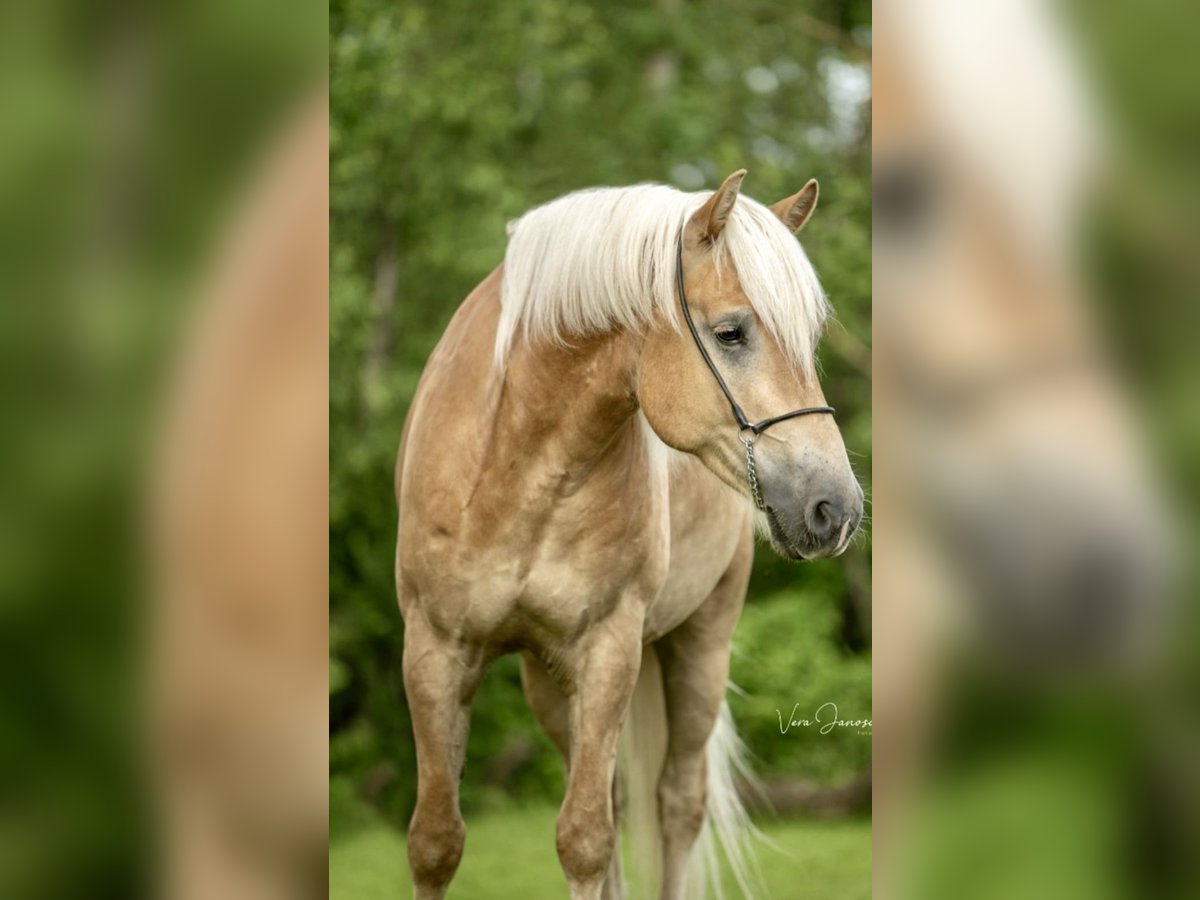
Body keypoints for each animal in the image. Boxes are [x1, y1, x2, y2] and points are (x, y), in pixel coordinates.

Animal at [393, 169, 864, 900]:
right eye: (731, 333)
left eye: (811, 338)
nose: (834, 508)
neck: (514, 468)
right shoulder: (434, 650)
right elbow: (437, 842)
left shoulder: (609, 650)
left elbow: (583, 839)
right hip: (547, 681)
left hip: (701, 647)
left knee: (677, 803)